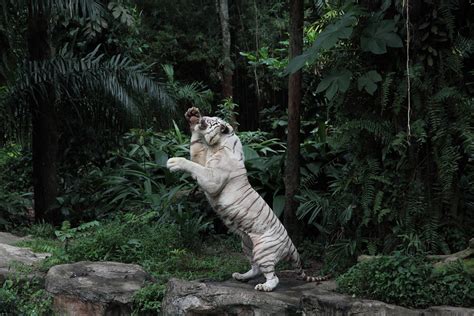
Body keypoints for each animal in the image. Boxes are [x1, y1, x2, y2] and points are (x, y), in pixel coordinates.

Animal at [166, 108, 326, 292]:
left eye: (212, 120)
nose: (202, 117)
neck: (217, 145)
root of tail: (290, 243)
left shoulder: (212, 178)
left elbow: (194, 166)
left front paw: (174, 162)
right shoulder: (202, 158)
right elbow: (196, 148)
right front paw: (192, 117)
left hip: (264, 250)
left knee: (273, 276)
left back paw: (264, 287)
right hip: (248, 244)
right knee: (256, 268)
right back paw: (241, 276)